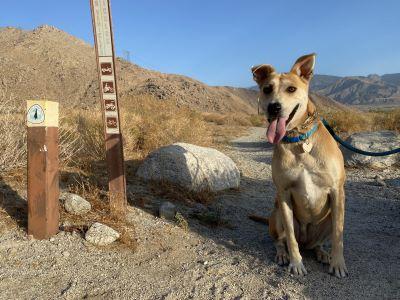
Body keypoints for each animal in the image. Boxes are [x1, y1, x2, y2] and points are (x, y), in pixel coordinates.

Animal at [253, 53, 346, 276]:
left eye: (291, 89)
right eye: (267, 89)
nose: (274, 107)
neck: (298, 139)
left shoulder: (337, 191)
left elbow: (338, 236)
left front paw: (338, 264)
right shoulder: (284, 193)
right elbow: (290, 238)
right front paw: (296, 263)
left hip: (327, 218)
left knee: (318, 243)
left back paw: (323, 254)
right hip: (277, 212)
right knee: (281, 240)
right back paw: (282, 254)